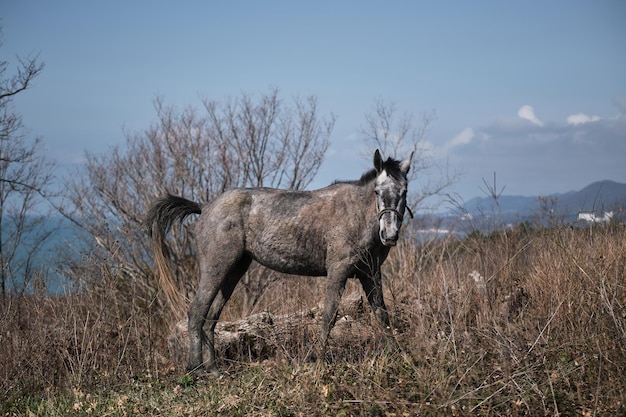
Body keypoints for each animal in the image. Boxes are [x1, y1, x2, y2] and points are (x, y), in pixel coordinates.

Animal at [144, 149, 412, 374]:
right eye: (377, 191)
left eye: (404, 191)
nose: (389, 235)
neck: (356, 214)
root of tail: (205, 207)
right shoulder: (338, 272)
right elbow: (329, 315)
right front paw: (318, 359)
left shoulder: (371, 274)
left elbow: (382, 315)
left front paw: (399, 355)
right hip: (215, 269)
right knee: (196, 312)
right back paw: (197, 369)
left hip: (233, 271)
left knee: (210, 318)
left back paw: (213, 369)